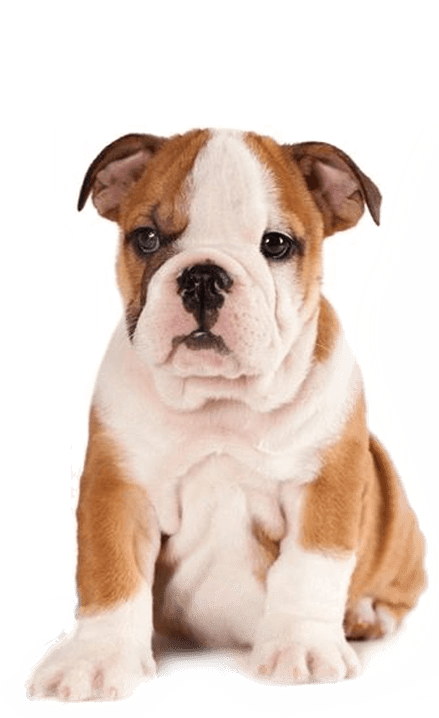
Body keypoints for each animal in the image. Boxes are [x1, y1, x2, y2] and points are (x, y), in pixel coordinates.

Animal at [28, 126, 426, 700]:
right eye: (147, 238)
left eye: (275, 244)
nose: (202, 276)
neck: (218, 401)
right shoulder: (119, 489)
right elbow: (110, 573)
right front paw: (96, 659)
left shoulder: (326, 484)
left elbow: (310, 568)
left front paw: (302, 648)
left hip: (397, 517)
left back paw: (367, 613)